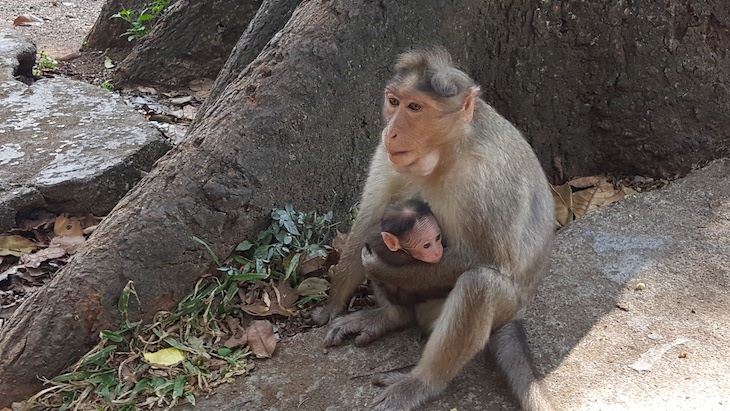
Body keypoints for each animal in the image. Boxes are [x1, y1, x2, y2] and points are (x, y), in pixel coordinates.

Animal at [308, 49, 552, 411]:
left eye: (415, 107)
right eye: (394, 101)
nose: (392, 132)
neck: (448, 151)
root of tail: (517, 314)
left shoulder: (485, 181)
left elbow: (484, 260)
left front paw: (381, 267)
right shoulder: (388, 155)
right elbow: (367, 222)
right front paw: (333, 305)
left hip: (504, 306)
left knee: (480, 285)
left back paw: (421, 382)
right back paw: (390, 316)